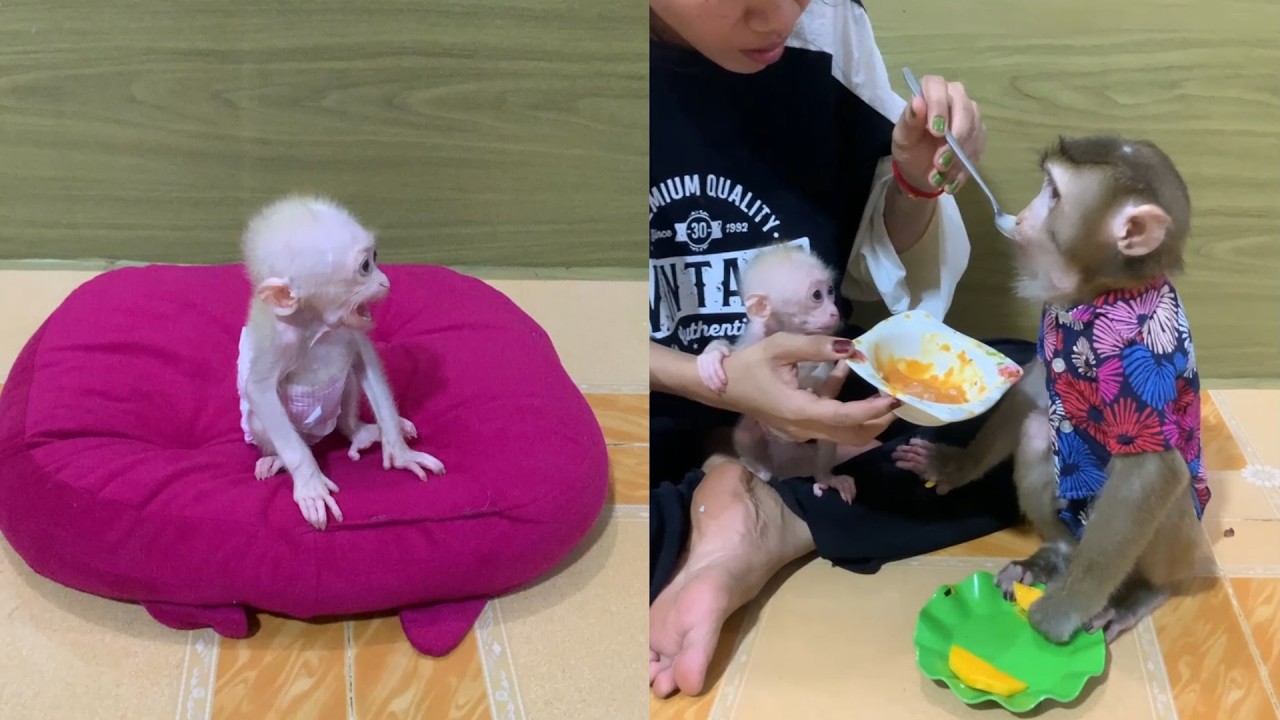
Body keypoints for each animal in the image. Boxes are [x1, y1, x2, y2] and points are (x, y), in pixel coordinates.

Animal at [235, 195, 446, 531]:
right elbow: (260, 389)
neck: (317, 324)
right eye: (365, 267)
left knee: (346, 400)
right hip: (265, 430)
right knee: (269, 424)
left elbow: (366, 361)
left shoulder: (350, 331)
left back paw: (362, 431)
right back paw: (277, 459)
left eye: (375, 257)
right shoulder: (279, 341)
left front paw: (400, 451)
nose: (385, 281)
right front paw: (310, 484)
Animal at [696, 242, 859, 503]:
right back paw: (759, 468)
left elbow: (822, 377)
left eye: (831, 291)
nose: (834, 311)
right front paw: (713, 356)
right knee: (745, 433)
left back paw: (825, 477)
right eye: (817, 295)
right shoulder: (754, 341)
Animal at [891, 136, 1208, 644]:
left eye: (1055, 195)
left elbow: (1155, 472)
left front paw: (1062, 612)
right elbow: (1034, 389)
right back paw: (1051, 558)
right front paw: (956, 465)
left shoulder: (1144, 362)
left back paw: (1142, 592)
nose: (1022, 215)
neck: (1099, 296)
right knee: (1040, 431)